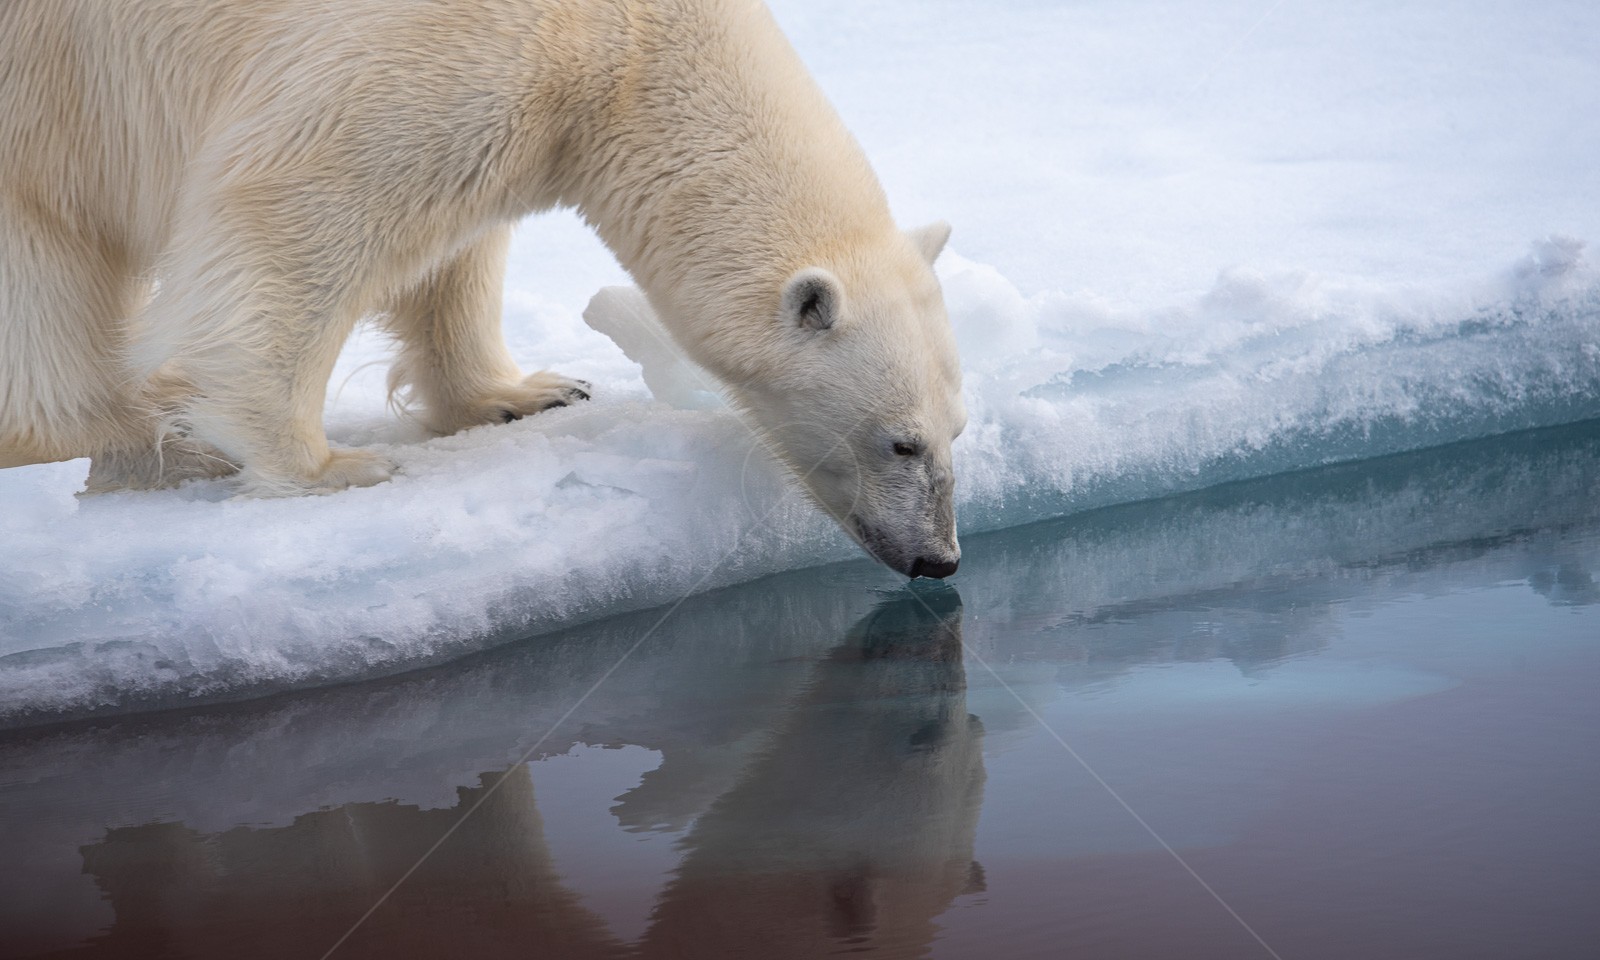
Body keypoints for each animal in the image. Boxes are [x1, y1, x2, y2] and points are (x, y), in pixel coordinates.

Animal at [0, 0, 965, 577]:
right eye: (901, 442)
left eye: (957, 428)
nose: (940, 558)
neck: (636, 46)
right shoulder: (439, 48)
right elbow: (293, 209)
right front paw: (329, 467)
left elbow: (453, 249)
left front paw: (527, 393)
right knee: (43, 273)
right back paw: (137, 446)